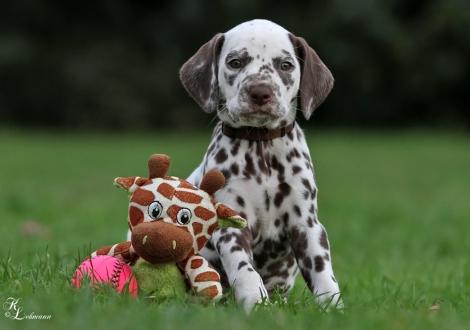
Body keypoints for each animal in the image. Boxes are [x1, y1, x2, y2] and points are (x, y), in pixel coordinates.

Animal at [180, 18, 342, 312]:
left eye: (286, 65)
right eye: (235, 62)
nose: (259, 92)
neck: (261, 148)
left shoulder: (307, 226)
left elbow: (322, 272)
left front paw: (334, 308)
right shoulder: (231, 227)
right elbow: (245, 270)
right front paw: (256, 302)